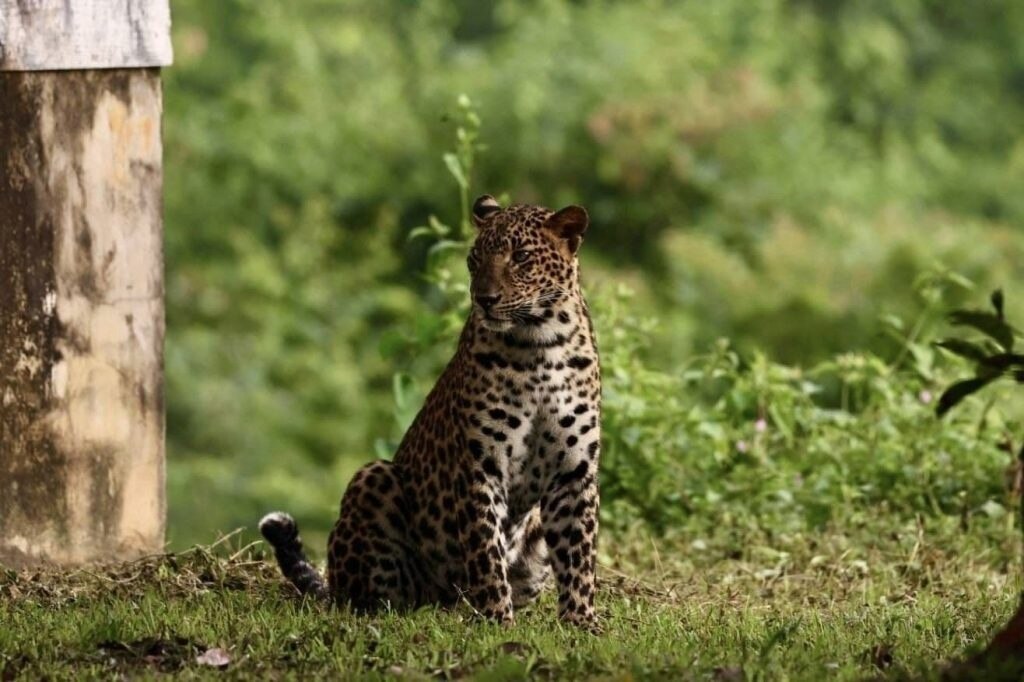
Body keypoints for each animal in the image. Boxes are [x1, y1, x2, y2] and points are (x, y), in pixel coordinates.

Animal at [258, 192, 598, 626]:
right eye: (474, 259)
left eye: (521, 257)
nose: (484, 299)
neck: (539, 343)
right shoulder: (479, 465)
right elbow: (485, 551)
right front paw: (496, 620)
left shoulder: (575, 469)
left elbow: (578, 556)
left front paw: (581, 622)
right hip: (373, 479)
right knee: (377, 596)